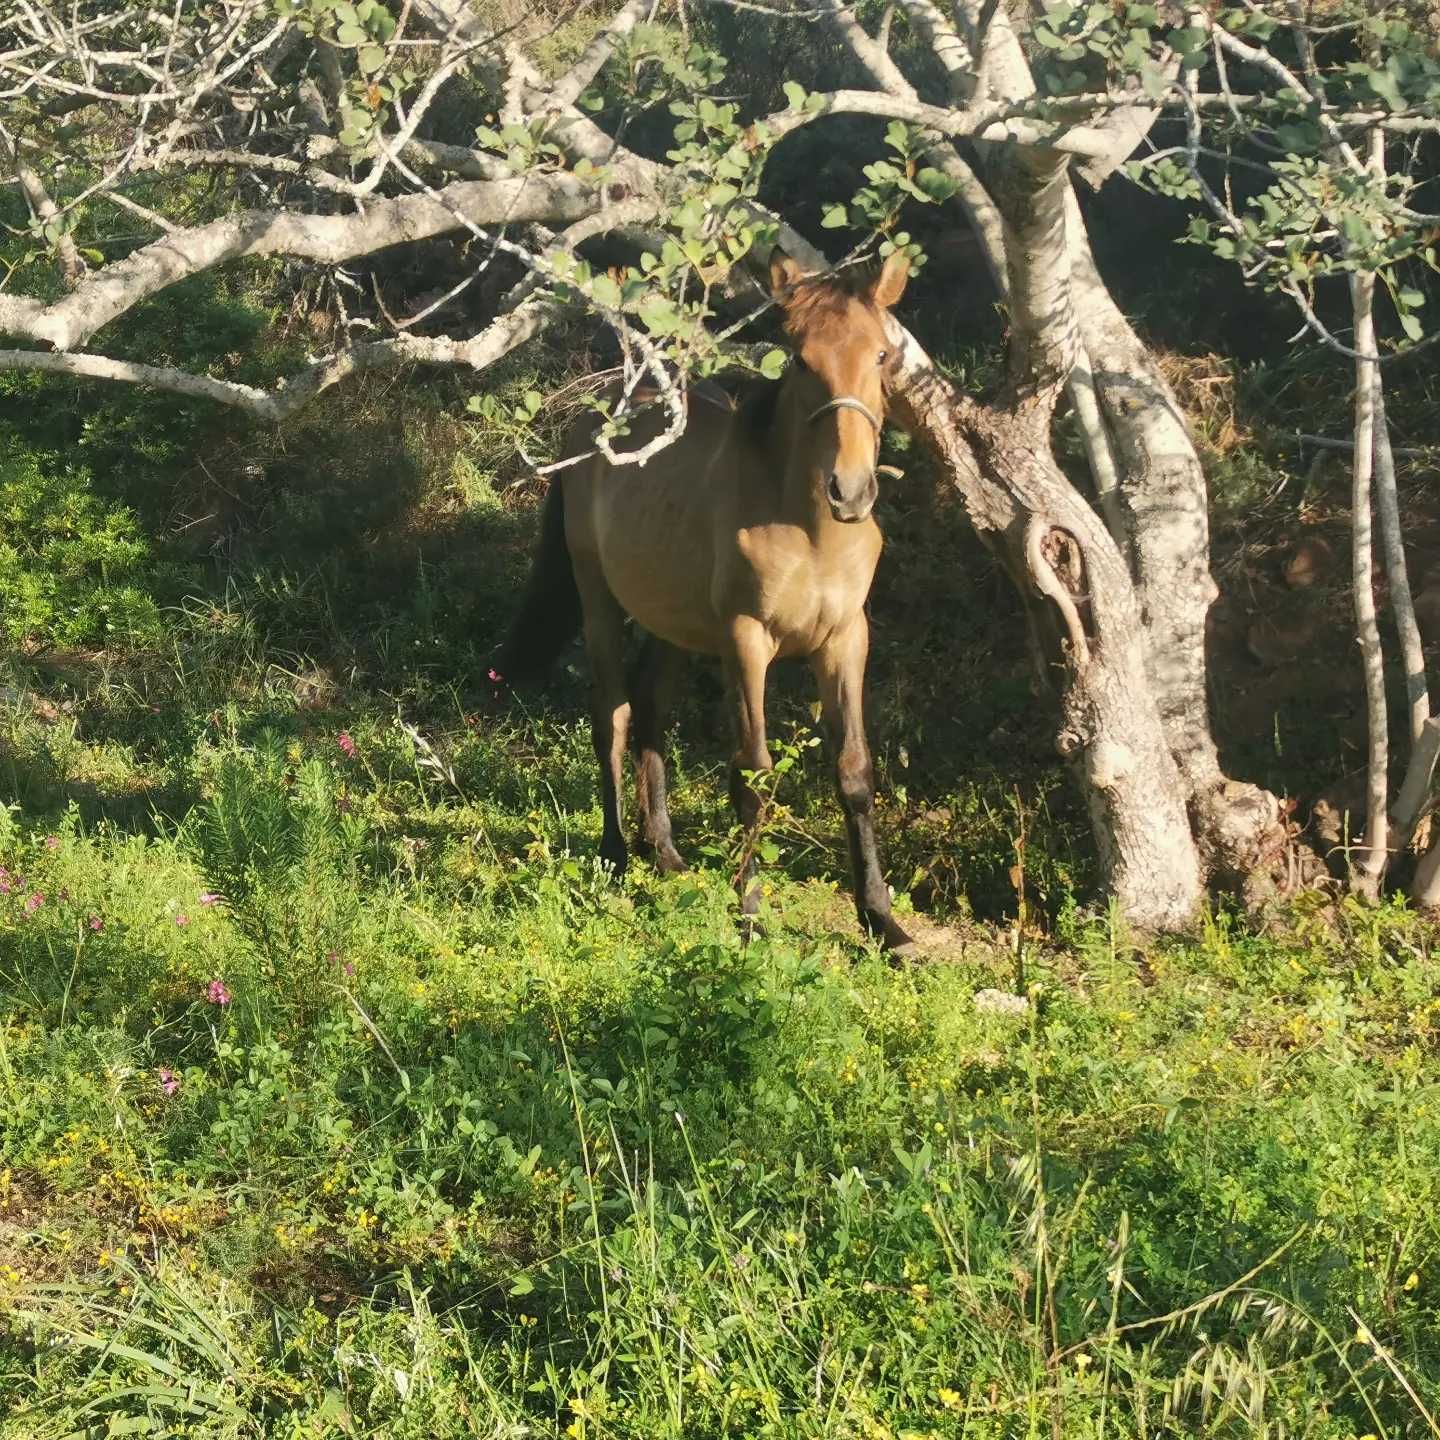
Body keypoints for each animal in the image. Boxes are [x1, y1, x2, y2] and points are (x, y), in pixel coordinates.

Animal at [501, 250, 915, 956]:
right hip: (599, 598)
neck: (810, 531)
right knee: (612, 714)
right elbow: (752, 775)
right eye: (800, 359)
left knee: (649, 707)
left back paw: (663, 851)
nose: (851, 490)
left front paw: (882, 921)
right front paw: (748, 915)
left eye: (883, 354)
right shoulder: (747, 643)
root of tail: (593, 421)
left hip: (675, 625)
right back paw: (616, 854)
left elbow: (855, 772)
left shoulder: (846, 640)